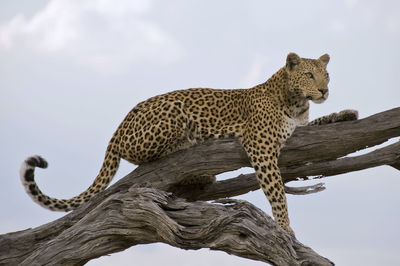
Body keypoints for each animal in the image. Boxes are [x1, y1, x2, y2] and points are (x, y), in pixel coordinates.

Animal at [20, 53, 358, 233]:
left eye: (327, 75)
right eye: (309, 74)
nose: (324, 90)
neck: (297, 102)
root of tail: (117, 130)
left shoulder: (299, 131)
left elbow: (320, 124)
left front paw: (346, 114)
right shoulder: (261, 147)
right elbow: (277, 193)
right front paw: (286, 228)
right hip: (172, 111)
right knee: (151, 156)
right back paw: (192, 154)